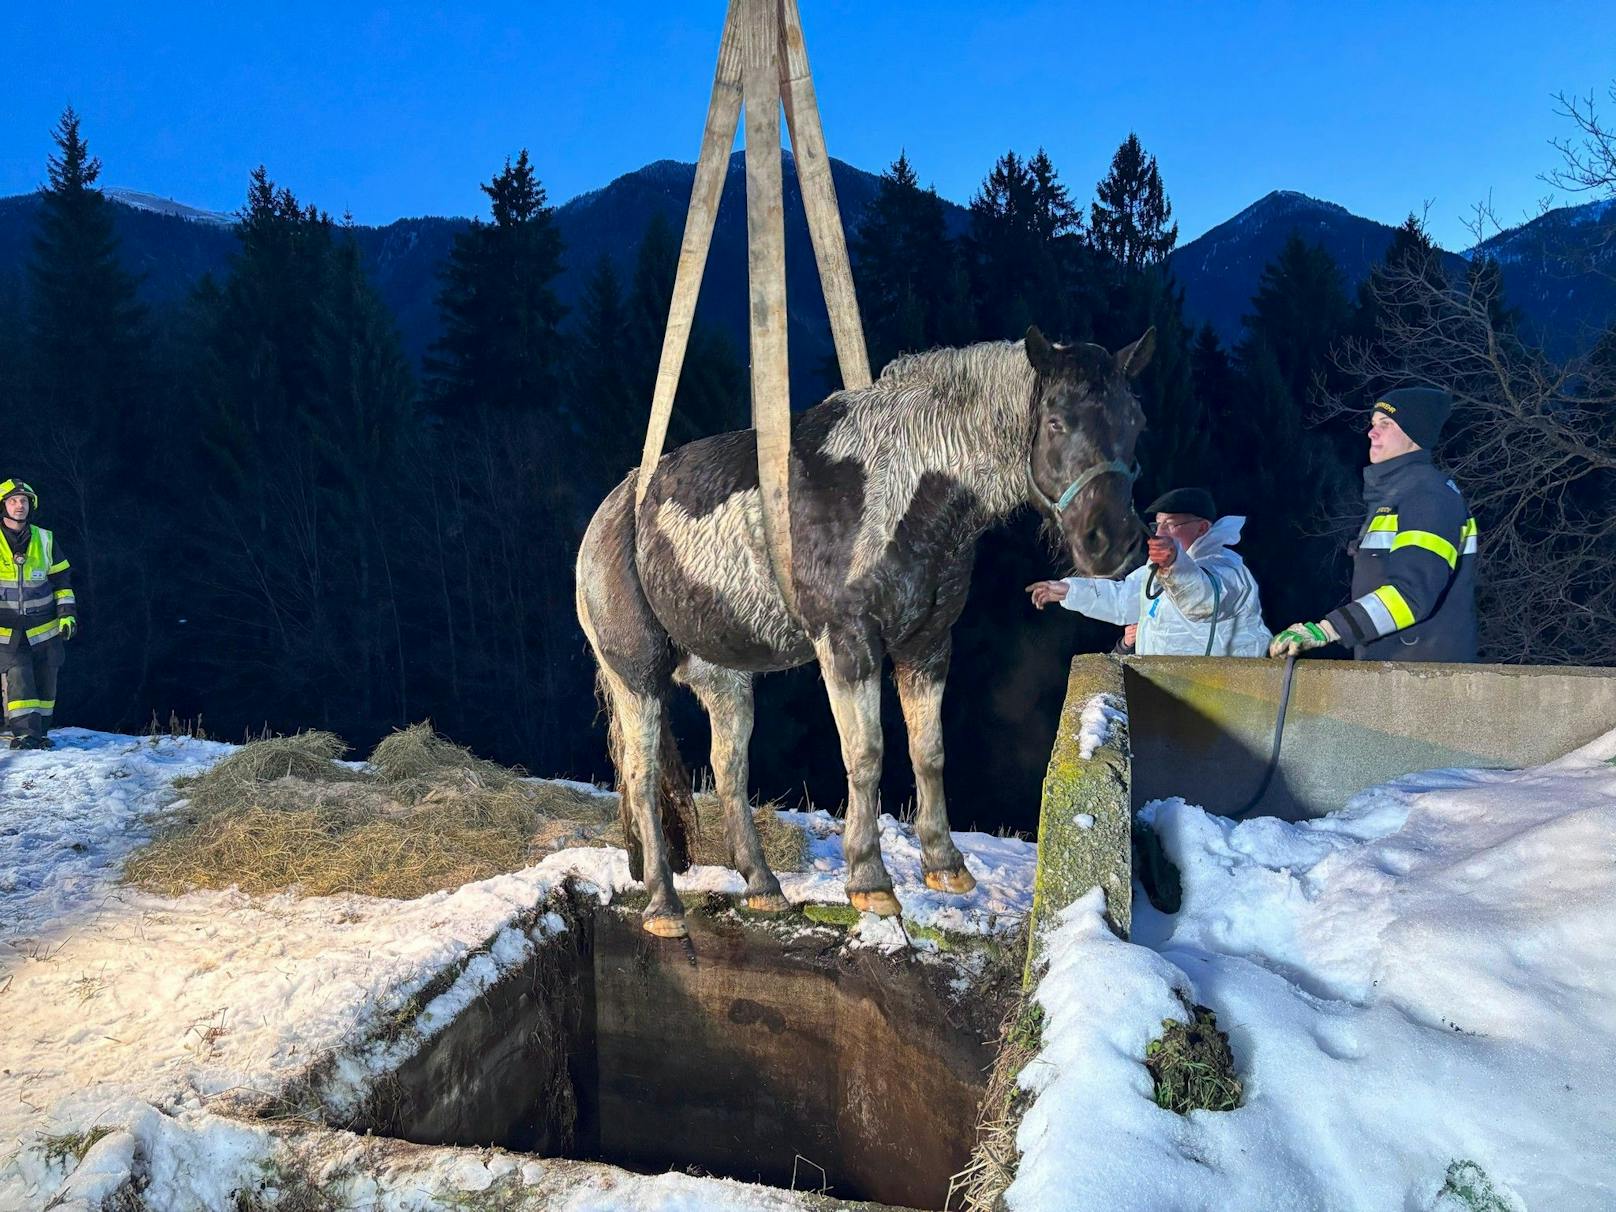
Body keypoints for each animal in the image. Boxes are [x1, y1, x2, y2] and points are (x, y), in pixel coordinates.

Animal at [575, 324, 1157, 937]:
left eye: (1136, 422)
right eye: (1056, 421)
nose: (1112, 543)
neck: (902, 487)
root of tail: (612, 511)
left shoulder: (927, 647)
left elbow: (929, 750)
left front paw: (945, 866)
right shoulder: (848, 645)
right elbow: (866, 754)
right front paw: (870, 881)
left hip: (724, 680)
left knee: (728, 770)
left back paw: (761, 886)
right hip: (636, 679)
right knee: (641, 778)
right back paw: (664, 904)